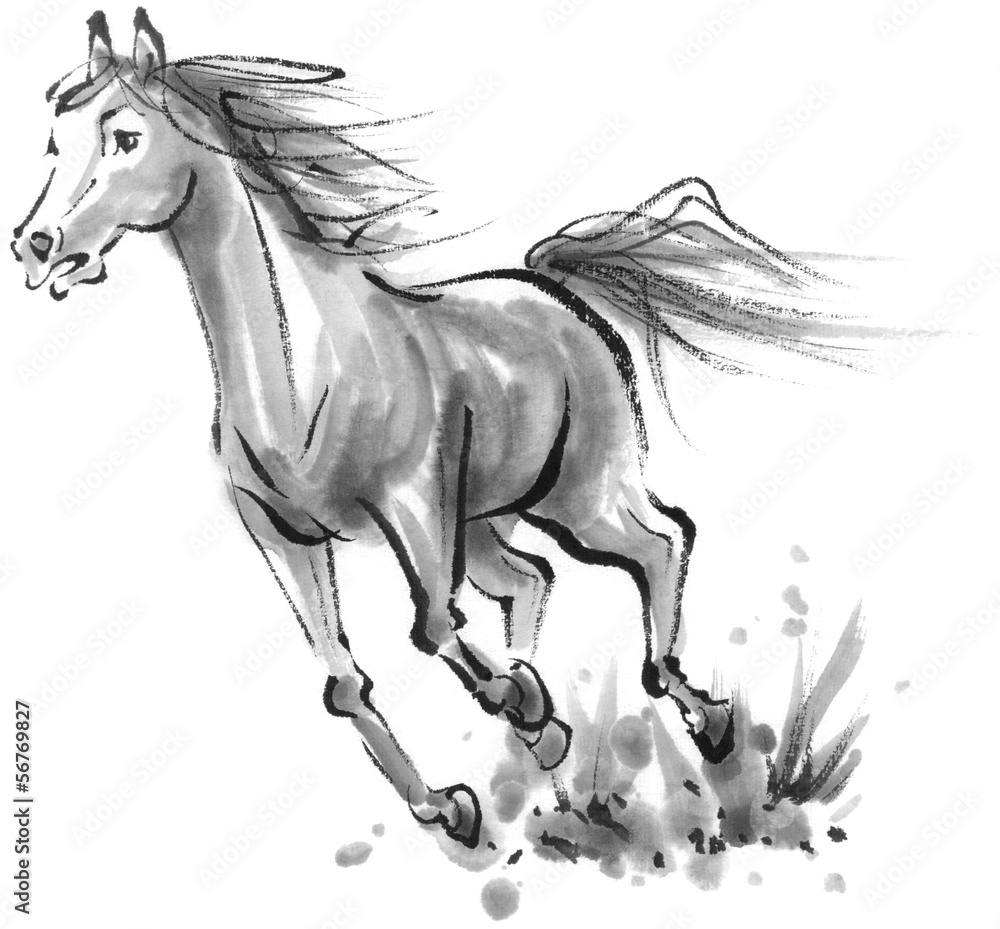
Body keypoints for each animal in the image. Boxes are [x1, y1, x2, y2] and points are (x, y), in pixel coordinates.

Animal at [12, 9, 876, 849]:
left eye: (126, 138)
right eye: (55, 141)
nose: (36, 245)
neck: (302, 374)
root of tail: (556, 294)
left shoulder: (414, 508)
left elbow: (431, 628)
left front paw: (523, 719)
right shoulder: (284, 534)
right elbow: (345, 683)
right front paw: (452, 805)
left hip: (581, 495)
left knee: (663, 542)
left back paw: (700, 719)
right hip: (492, 517)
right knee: (534, 578)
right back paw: (550, 735)